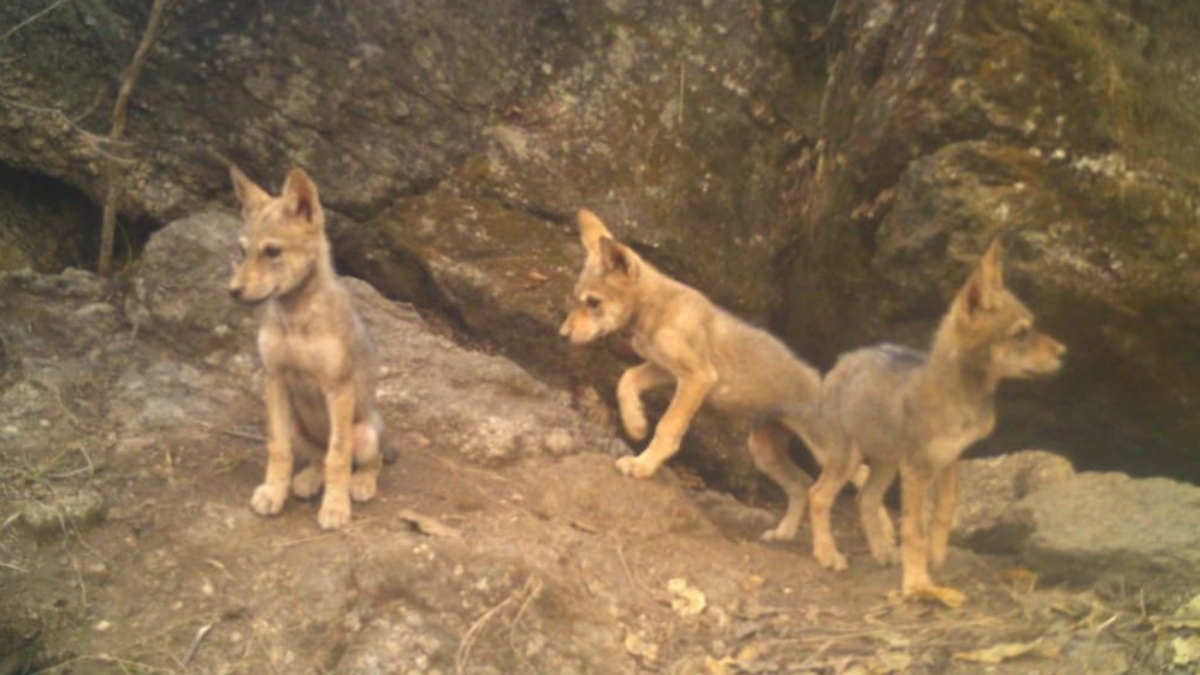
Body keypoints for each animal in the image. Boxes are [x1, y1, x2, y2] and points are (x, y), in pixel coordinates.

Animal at [228, 166, 386, 531]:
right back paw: (308, 479)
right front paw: (274, 492)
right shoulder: (274, 379)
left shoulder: (338, 389)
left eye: (272, 252)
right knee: (317, 457)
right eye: (242, 252)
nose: (233, 291)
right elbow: (279, 449)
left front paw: (335, 507)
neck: (295, 318)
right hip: (298, 427)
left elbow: (338, 456)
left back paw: (361, 483)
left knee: (368, 460)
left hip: (366, 433)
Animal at [559, 209, 829, 542]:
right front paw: (635, 423)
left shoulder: (698, 377)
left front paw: (644, 464)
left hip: (821, 449)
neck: (657, 310)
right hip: (766, 450)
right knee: (803, 483)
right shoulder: (663, 368)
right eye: (576, 298)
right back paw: (784, 534)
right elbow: (626, 381)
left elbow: (667, 426)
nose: (562, 335)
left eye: (593, 302)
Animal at [807, 241, 1065, 605]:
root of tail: (840, 364)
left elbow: (942, 515)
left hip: (885, 463)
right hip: (850, 459)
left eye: (1032, 328)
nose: (1064, 352)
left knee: (865, 499)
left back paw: (882, 552)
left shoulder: (949, 460)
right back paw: (828, 554)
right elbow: (915, 530)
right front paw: (917, 582)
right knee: (817, 495)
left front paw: (936, 560)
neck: (962, 395)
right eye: (1021, 334)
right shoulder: (917, 469)